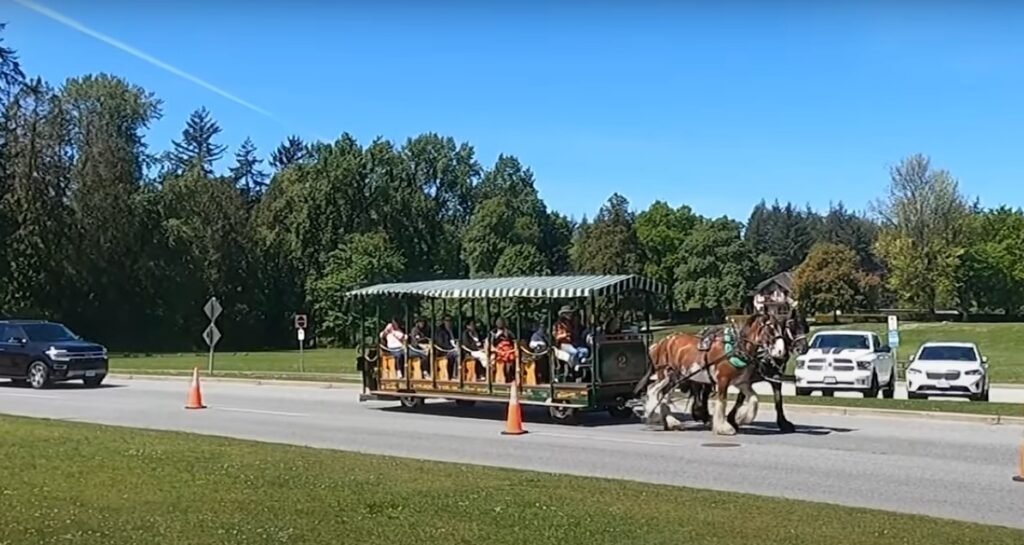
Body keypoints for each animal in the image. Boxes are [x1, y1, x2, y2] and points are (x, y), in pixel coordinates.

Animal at [638, 313, 782, 436]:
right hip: (665, 374)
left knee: (659, 393)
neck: (736, 348)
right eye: (771, 329)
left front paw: (742, 418)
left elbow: (754, 399)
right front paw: (723, 428)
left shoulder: (741, 382)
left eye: (782, 328)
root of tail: (659, 344)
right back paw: (657, 416)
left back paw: (668, 422)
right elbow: (722, 403)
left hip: (674, 378)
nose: (780, 351)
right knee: (656, 393)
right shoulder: (723, 380)